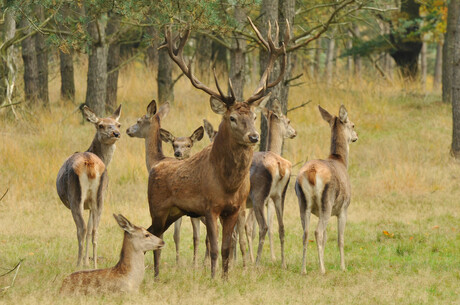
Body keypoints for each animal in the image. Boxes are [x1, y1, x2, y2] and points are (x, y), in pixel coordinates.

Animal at [56, 104, 122, 268]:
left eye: (118, 124)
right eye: (101, 125)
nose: (116, 133)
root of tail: (90, 164)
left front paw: (84, 262)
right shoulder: (92, 204)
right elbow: (92, 228)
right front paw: (88, 261)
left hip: (75, 196)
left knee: (82, 228)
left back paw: (78, 264)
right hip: (100, 197)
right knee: (95, 229)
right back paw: (94, 265)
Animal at [147, 17, 290, 278]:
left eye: (254, 116)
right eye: (232, 118)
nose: (254, 136)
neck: (227, 184)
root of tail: (155, 166)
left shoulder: (234, 209)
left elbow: (226, 248)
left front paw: (225, 278)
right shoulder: (209, 207)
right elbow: (213, 248)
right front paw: (213, 278)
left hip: (174, 211)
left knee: (153, 232)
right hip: (158, 206)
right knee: (152, 233)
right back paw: (155, 275)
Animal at [294, 104, 360, 274]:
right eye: (352, 125)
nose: (356, 136)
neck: (341, 161)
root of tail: (311, 173)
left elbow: (325, 239)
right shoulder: (343, 208)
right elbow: (340, 239)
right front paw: (343, 266)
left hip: (302, 203)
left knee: (305, 233)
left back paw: (303, 269)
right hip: (327, 202)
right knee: (317, 232)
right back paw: (322, 270)